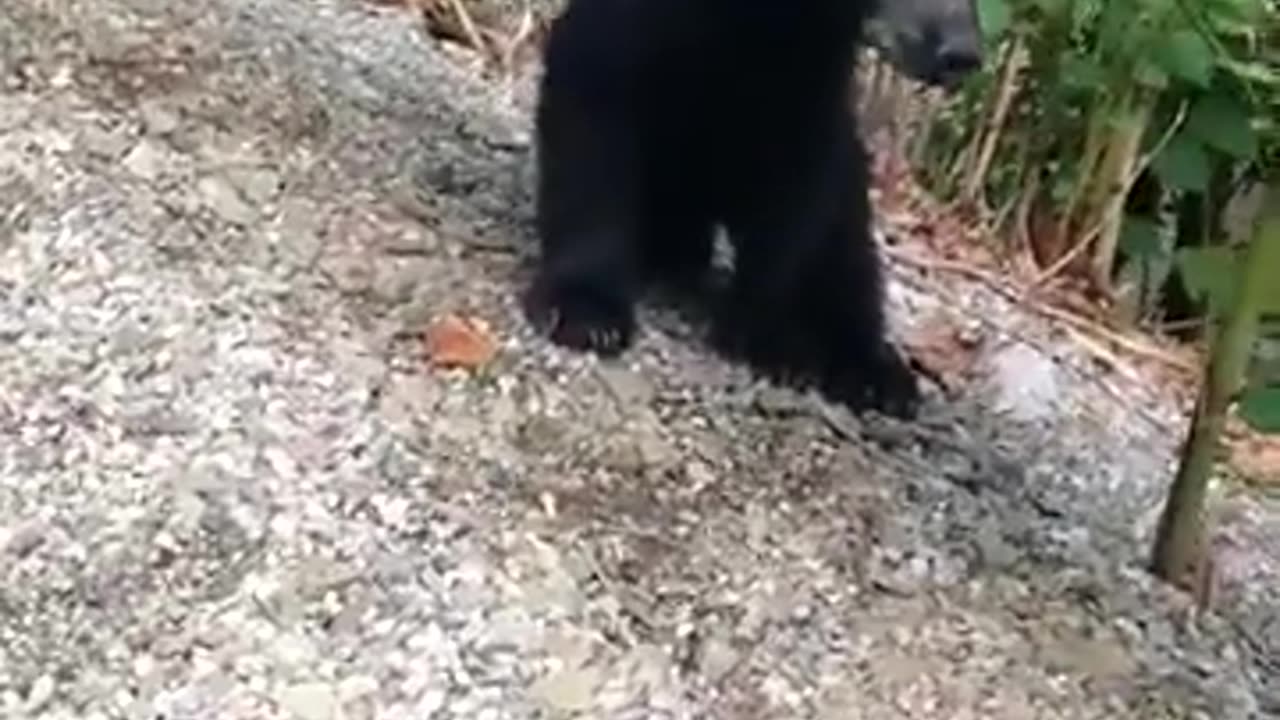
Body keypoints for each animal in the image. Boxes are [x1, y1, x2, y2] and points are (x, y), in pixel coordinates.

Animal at [522, 0, 927, 419]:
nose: (949, 51)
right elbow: (594, 109)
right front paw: (585, 311)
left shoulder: (811, 73)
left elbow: (798, 191)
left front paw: (772, 339)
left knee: (846, 249)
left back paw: (877, 374)